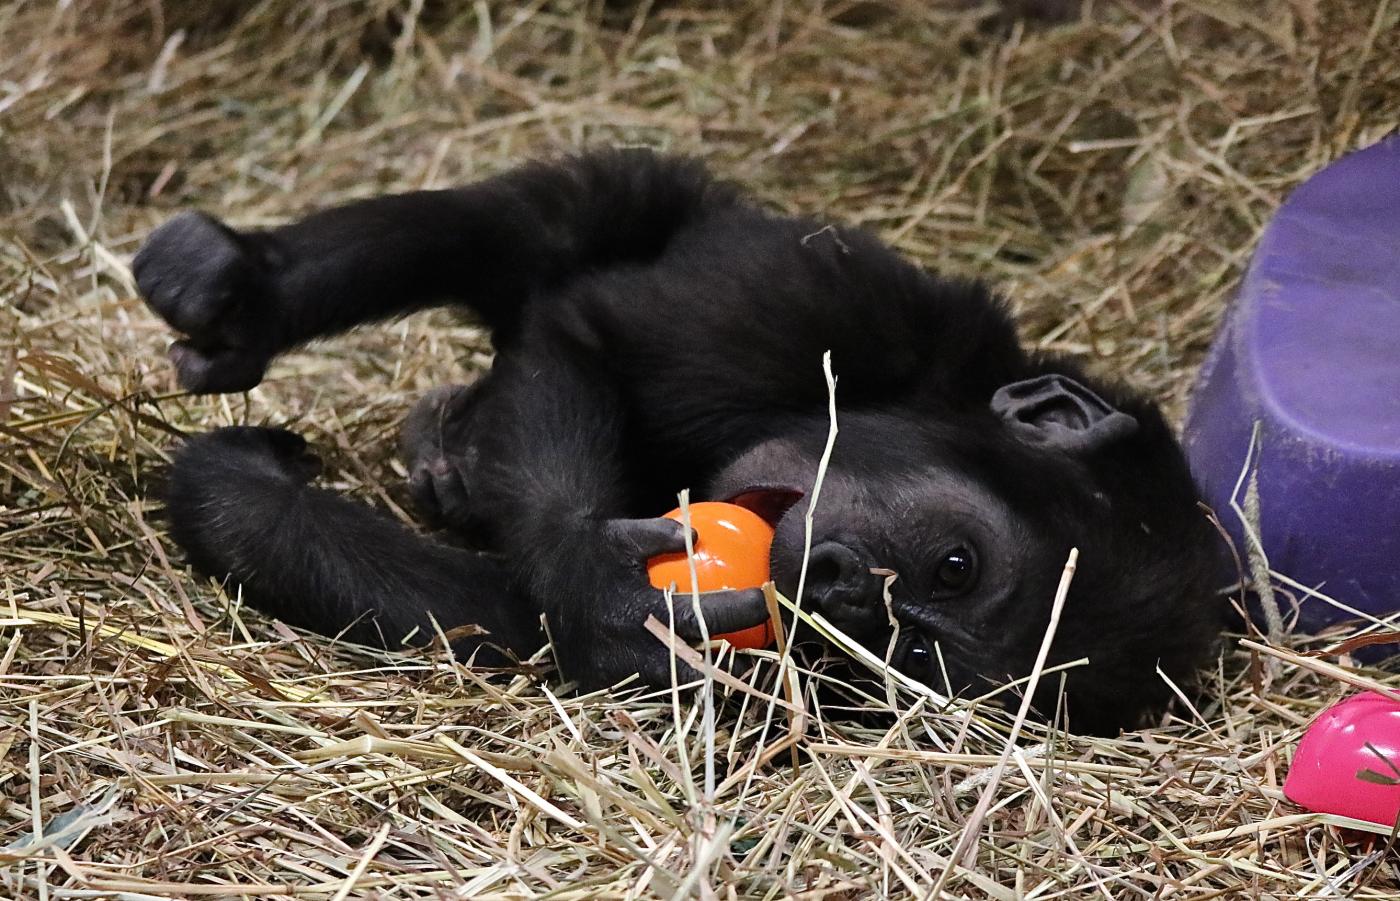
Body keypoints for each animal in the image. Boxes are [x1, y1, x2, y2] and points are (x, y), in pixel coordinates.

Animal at [136, 151, 1220, 733]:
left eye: (903, 658)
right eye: (956, 563)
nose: (829, 584)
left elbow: (516, 620)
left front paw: (239, 498)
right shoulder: (834, 301)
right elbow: (583, 334)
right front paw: (601, 584)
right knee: (540, 221)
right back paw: (252, 285)